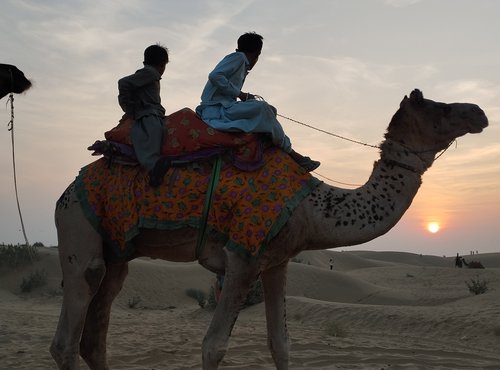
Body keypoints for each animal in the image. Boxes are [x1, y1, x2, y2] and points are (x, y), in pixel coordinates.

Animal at [50, 88, 488, 368]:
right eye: (440, 108)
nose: (479, 112)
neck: (313, 206)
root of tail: (67, 189)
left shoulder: (278, 262)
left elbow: (281, 345)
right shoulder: (242, 255)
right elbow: (213, 347)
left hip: (116, 252)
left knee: (95, 335)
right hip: (78, 227)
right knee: (67, 339)